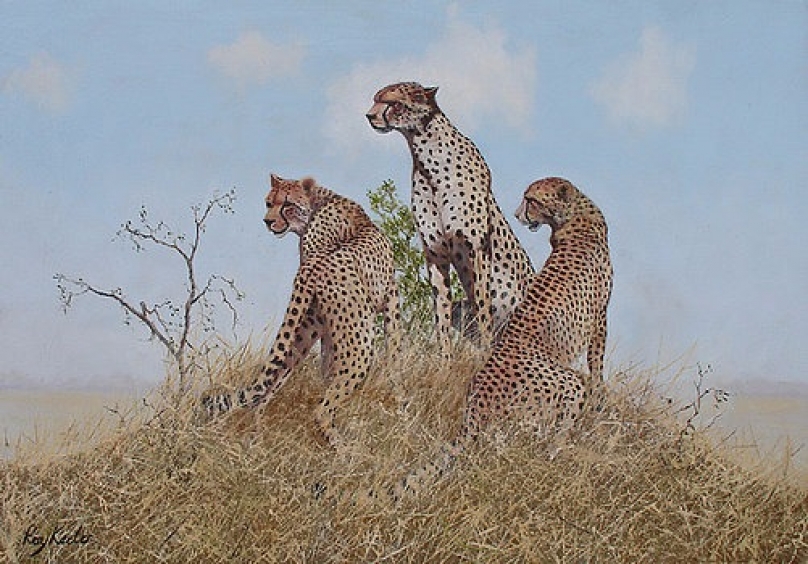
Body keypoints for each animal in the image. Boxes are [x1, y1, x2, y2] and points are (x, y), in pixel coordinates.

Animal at [201, 174, 400, 447]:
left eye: (286, 204)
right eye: (269, 203)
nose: (267, 221)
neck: (321, 200)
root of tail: (313, 266)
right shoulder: (390, 294)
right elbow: (395, 344)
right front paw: (398, 392)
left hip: (302, 333)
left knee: (265, 390)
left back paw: (257, 438)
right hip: (358, 341)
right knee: (322, 409)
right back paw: (345, 448)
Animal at [366, 82, 534, 347]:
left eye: (392, 103)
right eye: (375, 100)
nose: (369, 116)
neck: (427, 159)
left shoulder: (475, 249)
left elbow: (482, 308)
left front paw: (485, 352)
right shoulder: (435, 252)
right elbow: (441, 312)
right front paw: (444, 354)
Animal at [393, 177, 613, 497]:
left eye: (531, 200)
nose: (518, 214)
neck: (575, 214)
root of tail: (475, 404)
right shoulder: (600, 319)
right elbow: (597, 366)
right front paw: (599, 401)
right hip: (564, 384)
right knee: (546, 439)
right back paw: (563, 454)